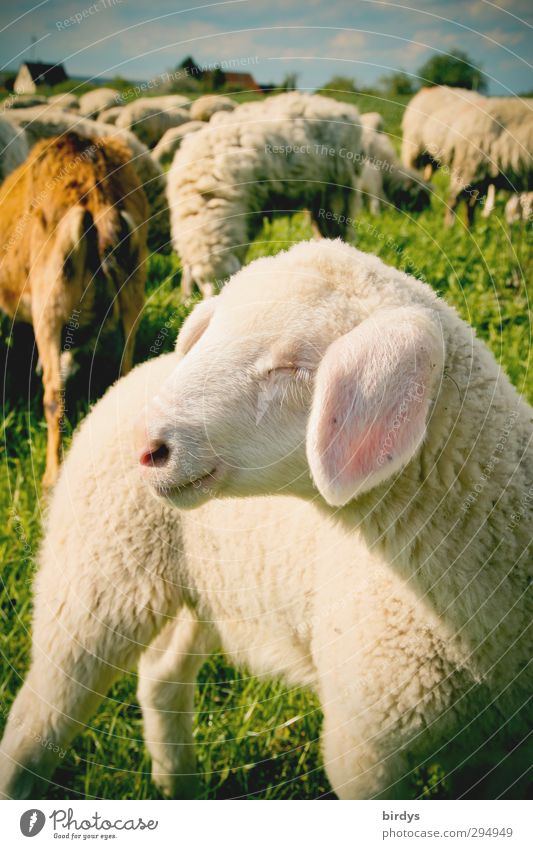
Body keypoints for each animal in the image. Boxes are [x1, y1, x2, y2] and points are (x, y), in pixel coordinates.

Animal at [2, 240, 528, 800]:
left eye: (291, 366)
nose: (146, 448)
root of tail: (134, 376)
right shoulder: (364, 748)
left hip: (208, 587)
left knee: (161, 675)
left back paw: (179, 784)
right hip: (95, 577)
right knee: (37, 718)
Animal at [168, 92, 364, 296]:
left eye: (228, 279)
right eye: (201, 281)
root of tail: (340, 105)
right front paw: (186, 296)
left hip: (339, 188)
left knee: (339, 228)